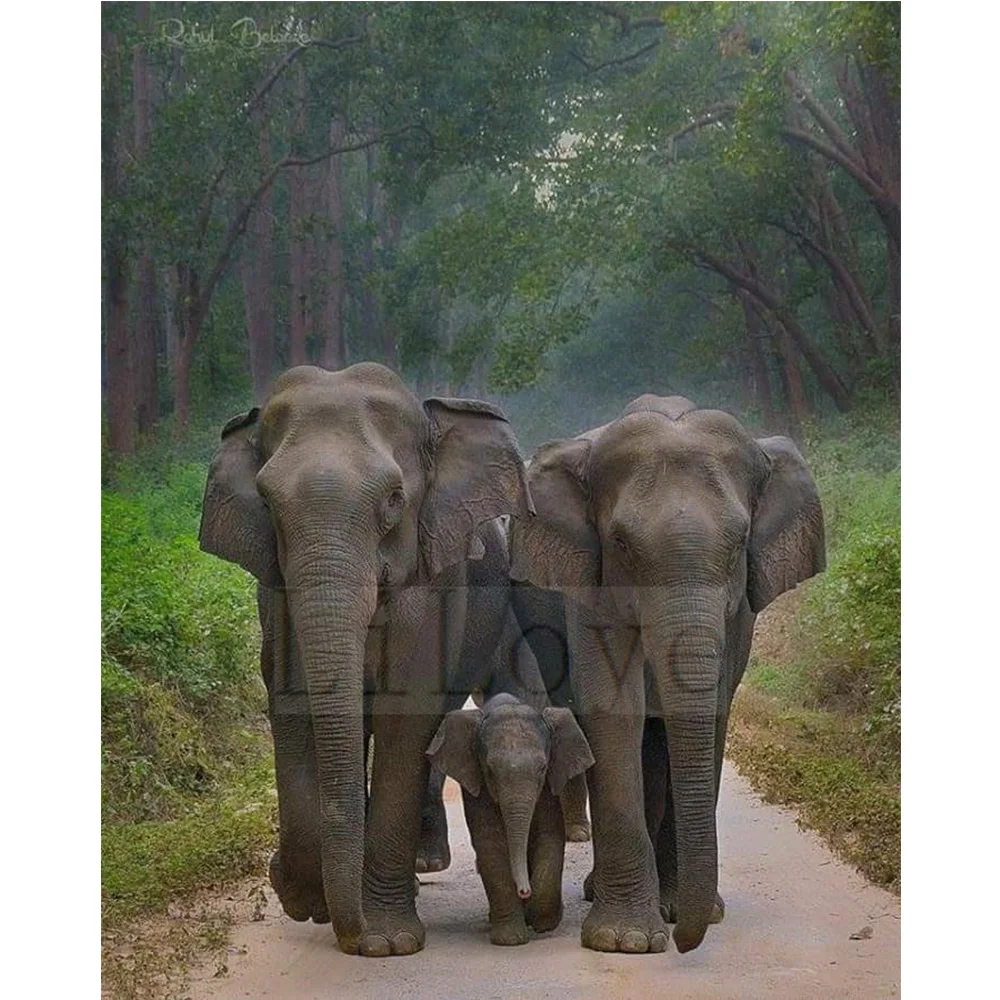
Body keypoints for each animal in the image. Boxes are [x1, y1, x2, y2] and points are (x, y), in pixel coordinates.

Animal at [199, 363, 538, 956]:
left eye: (395, 499)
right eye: (267, 504)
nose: (349, 932)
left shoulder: (436, 583)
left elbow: (407, 716)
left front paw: (386, 941)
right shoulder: (274, 593)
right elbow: (294, 706)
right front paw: (303, 898)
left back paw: (423, 864)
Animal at [427, 694, 594, 945]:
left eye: (542, 768)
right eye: (490, 771)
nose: (524, 890)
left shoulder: (548, 787)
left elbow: (549, 837)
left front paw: (542, 922)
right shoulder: (478, 788)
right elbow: (491, 843)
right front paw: (510, 939)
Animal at [509, 393, 825, 955]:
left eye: (740, 541)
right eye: (620, 542)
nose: (684, 944)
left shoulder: (740, 607)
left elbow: (715, 707)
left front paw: (689, 913)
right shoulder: (591, 584)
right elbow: (614, 708)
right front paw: (626, 941)